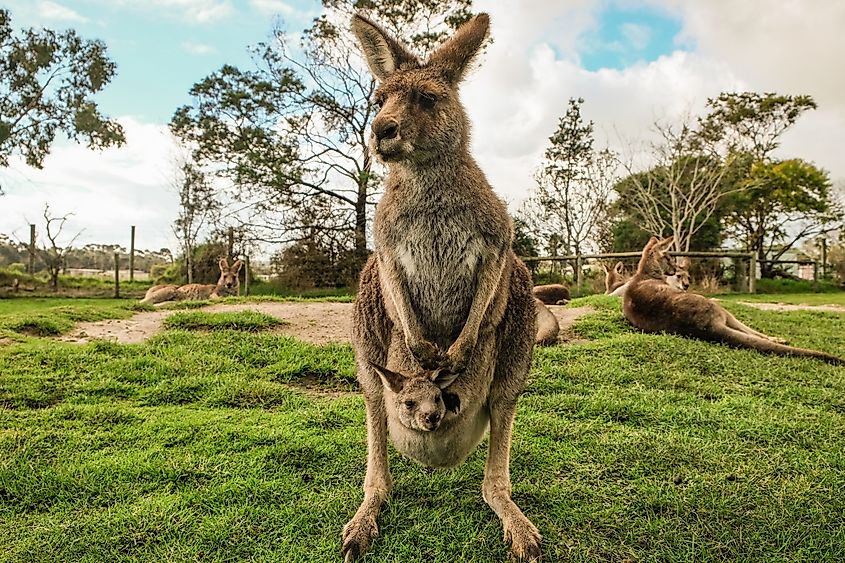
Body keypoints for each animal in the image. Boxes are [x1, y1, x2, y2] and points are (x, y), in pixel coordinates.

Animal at [345, 12, 542, 562]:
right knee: (375, 416)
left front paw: (454, 353)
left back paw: (520, 529)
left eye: (429, 99)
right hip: (366, 331)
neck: (424, 174)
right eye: (380, 99)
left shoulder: (498, 241)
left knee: (497, 450)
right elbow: (397, 280)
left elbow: (489, 277)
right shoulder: (385, 247)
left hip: (519, 326)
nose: (381, 131)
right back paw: (362, 521)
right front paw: (426, 350)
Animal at [623, 236, 843, 365]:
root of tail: (706, 326)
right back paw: (778, 339)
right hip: (718, 307)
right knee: (751, 332)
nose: (674, 270)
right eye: (669, 258)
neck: (645, 273)